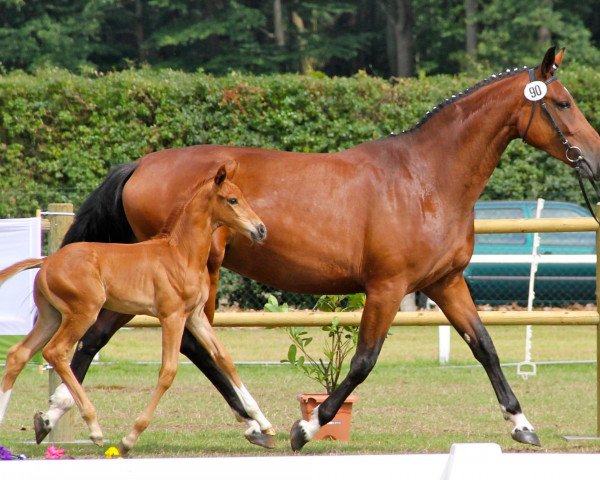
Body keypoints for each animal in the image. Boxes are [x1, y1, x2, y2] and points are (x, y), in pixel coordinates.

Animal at [0, 166, 270, 454]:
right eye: (232, 200)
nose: (261, 229)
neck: (181, 254)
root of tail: (48, 260)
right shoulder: (172, 316)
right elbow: (168, 371)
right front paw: (130, 437)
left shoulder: (195, 317)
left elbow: (225, 359)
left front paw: (262, 423)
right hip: (83, 313)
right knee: (55, 352)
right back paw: (95, 429)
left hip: (51, 316)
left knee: (18, 354)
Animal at [36, 47, 600, 448]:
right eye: (564, 103)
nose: (594, 160)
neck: (424, 179)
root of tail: (141, 164)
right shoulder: (387, 287)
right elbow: (364, 360)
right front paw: (307, 427)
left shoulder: (445, 282)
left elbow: (485, 347)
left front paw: (521, 424)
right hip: (183, 276)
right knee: (181, 345)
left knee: (106, 337)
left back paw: (58, 415)